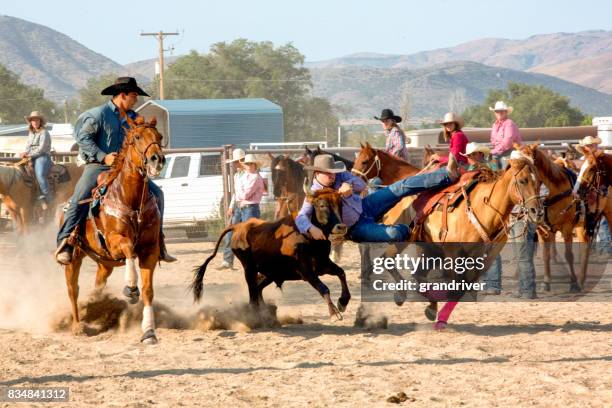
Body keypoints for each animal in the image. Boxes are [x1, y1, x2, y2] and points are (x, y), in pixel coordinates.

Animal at [61, 117, 165, 344]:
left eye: (159, 137)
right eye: (137, 137)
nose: (157, 159)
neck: (131, 200)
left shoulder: (150, 250)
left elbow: (148, 291)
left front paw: (149, 332)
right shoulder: (116, 241)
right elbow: (129, 250)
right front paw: (130, 288)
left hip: (105, 263)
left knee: (97, 284)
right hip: (74, 258)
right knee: (73, 290)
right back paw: (77, 326)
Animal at [382, 153, 544, 328]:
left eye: (538, 181)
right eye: (522, 180)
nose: (538, 212)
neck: (484, 209)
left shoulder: (478, 257)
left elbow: (464, 287)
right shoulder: (452, 253)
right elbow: (456, 285)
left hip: (429, 248)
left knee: (418, 275)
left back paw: (430, 307)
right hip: (402, 239)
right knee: (387, 259)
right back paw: (401, 295)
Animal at [516, 145, 588, 292]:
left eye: (529, 164)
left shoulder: (567, 226)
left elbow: (568, 255)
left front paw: (573, 283)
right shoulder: (542, 229)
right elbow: (545, 255)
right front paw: (546, 282)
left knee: (585, 247)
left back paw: (581, 279)